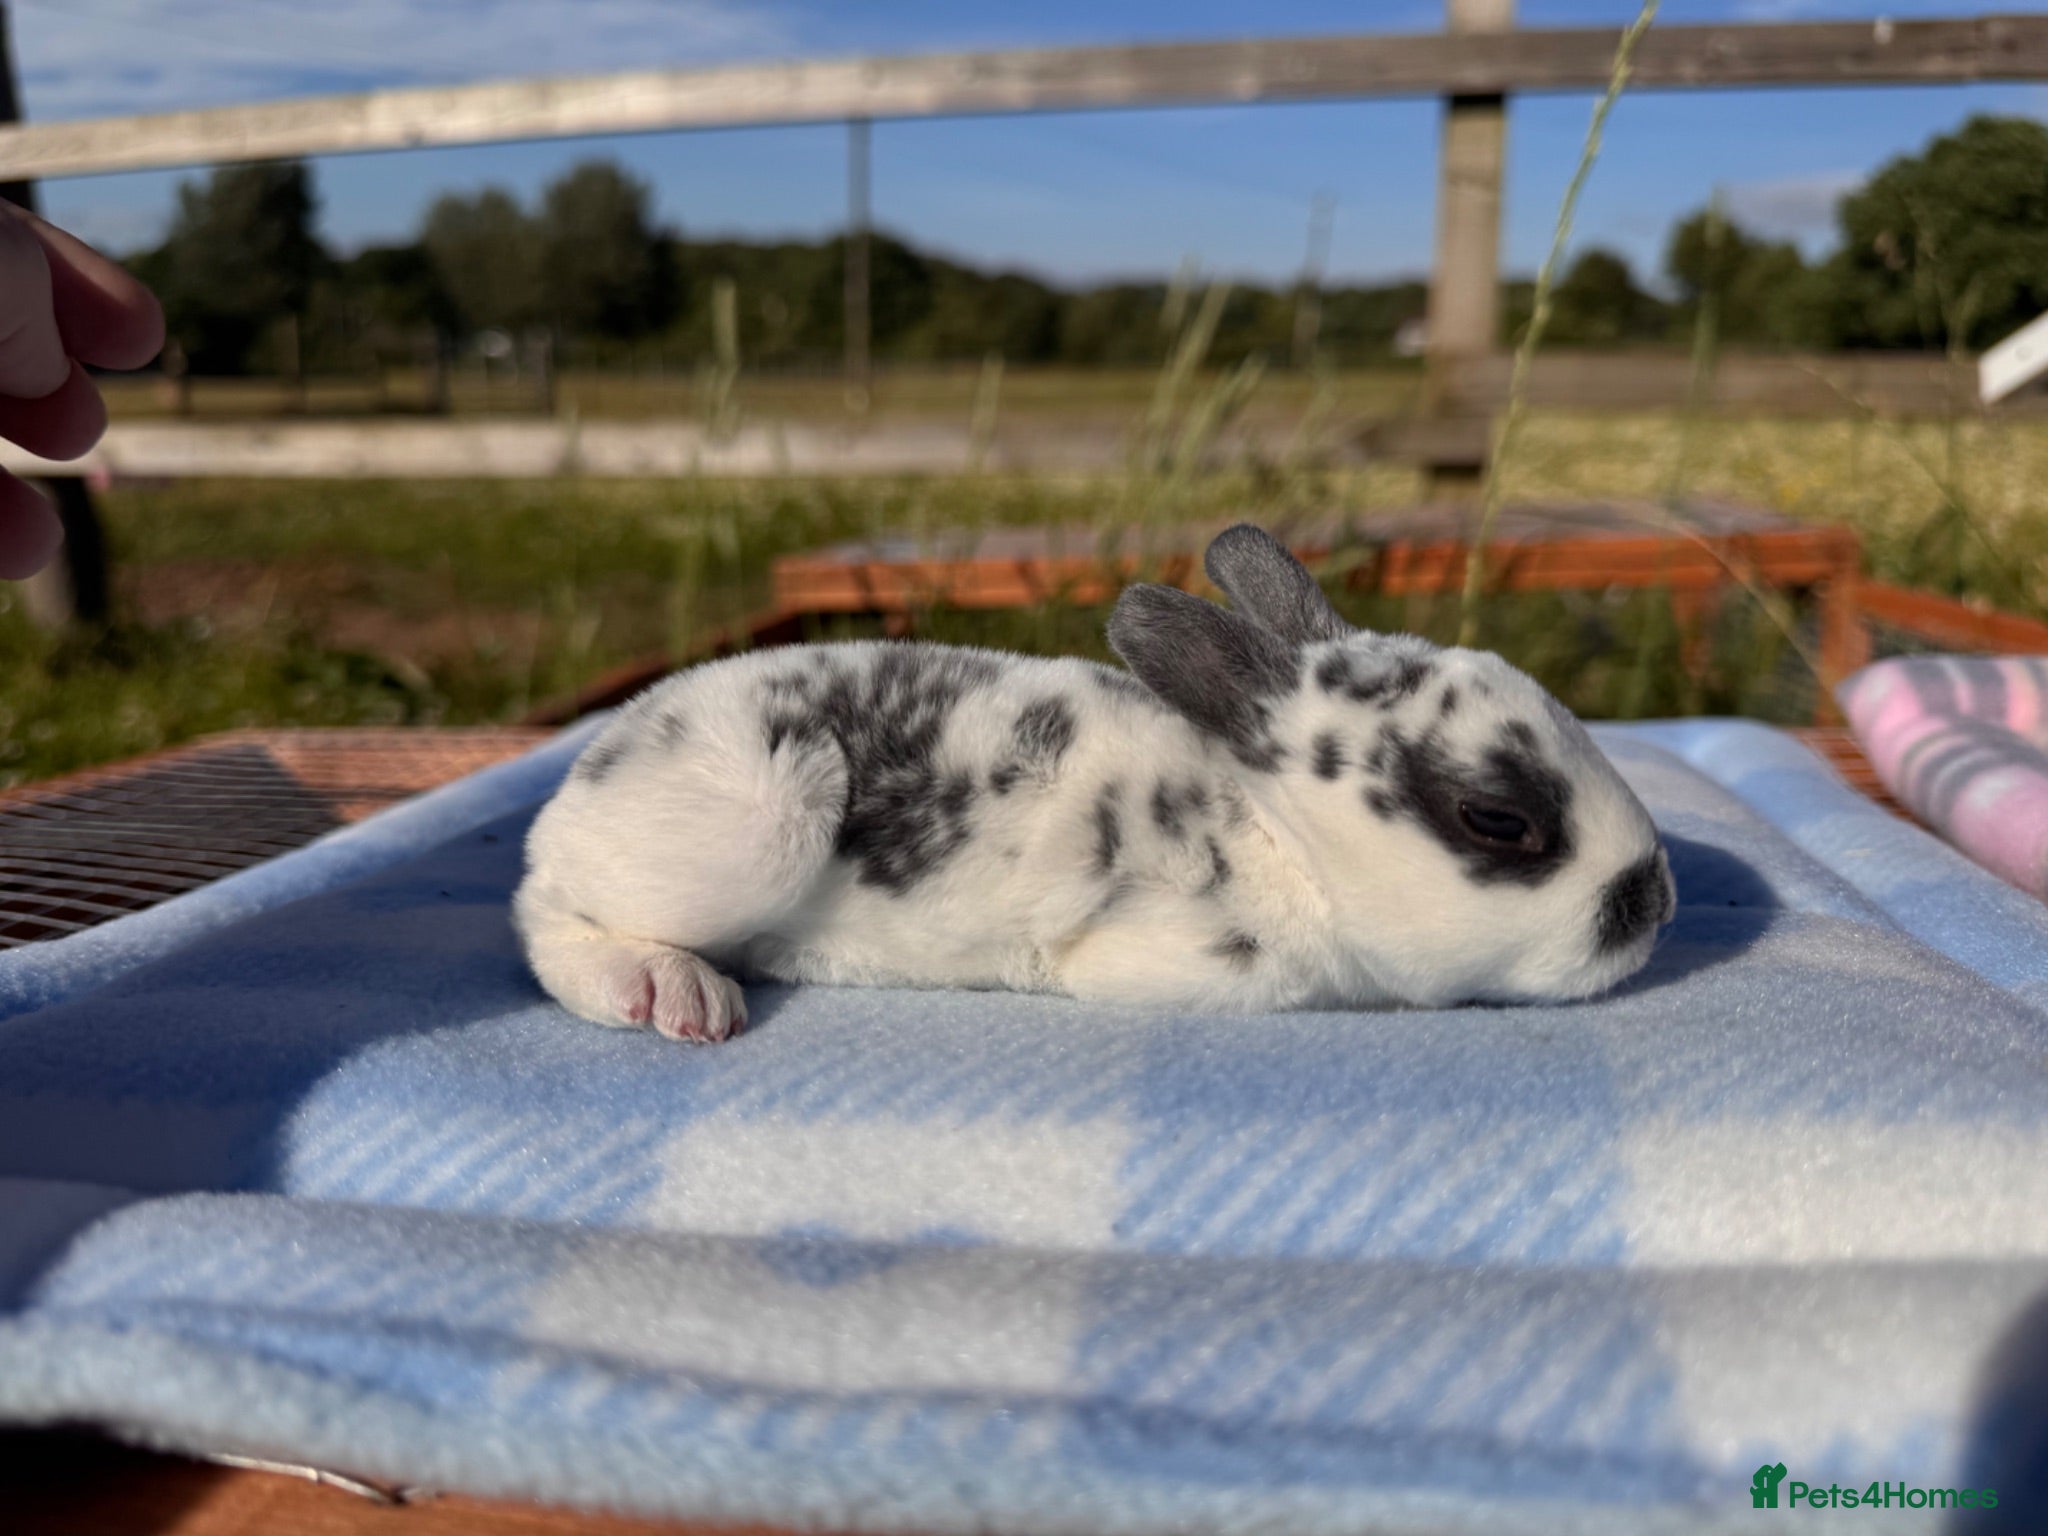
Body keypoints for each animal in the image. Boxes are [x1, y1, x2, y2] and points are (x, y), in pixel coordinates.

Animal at [514, 523, 1675, 1040]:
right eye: (1497, 819)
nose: (1655, 900)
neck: (1264, 832)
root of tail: (590, 775)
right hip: (754, 825)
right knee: (544, 913)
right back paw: (669, 993)